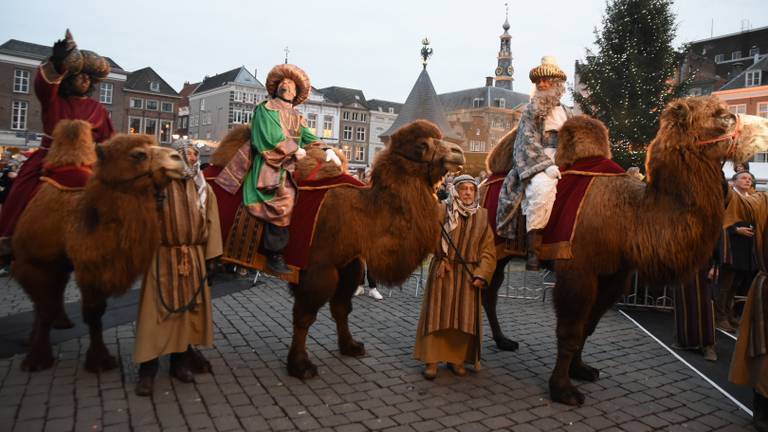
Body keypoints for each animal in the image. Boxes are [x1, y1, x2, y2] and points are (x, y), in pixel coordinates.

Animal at [12, 121, 187, 372]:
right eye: (138, 154)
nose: (178, 158)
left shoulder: (94, 267)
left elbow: (94, 313)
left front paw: (100, 359)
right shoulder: (36, 263)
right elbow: (45, 308)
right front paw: (37, 359)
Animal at [544, 96, 768, 406]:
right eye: (721, 116)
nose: (763, 129)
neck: (631, 217)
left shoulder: (614, 274)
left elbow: (588, 327)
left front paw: (581, 370)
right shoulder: (578, 269)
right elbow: (570, 331)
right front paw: (563, 390)